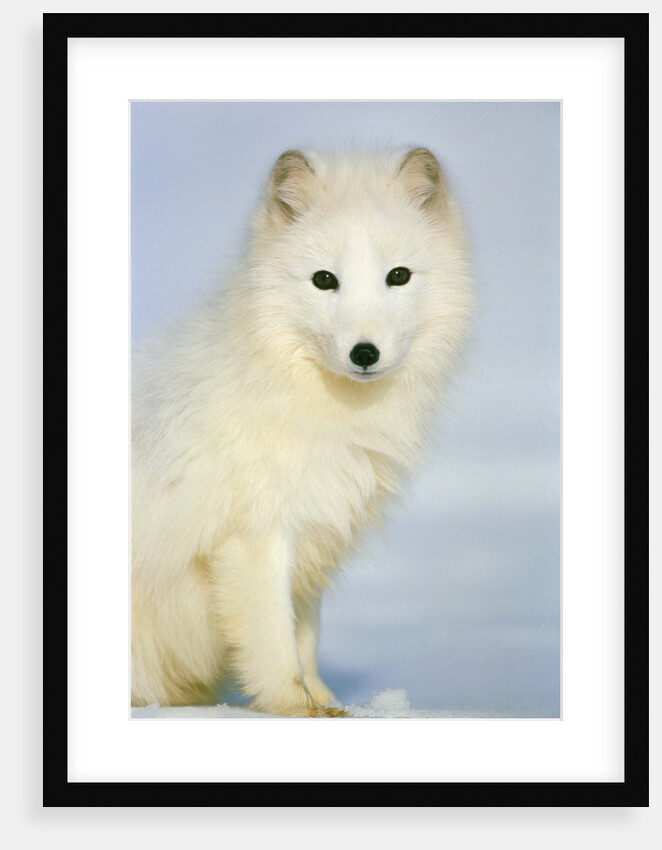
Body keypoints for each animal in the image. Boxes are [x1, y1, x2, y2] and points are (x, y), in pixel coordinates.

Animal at [131, 147, 473, 716]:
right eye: (324, 280)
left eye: (398, 275)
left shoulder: (314, 531)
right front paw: (294, 706)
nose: (364, 353)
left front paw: (328, 703)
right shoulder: (255, 534)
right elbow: (273, 639)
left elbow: (305, 636)